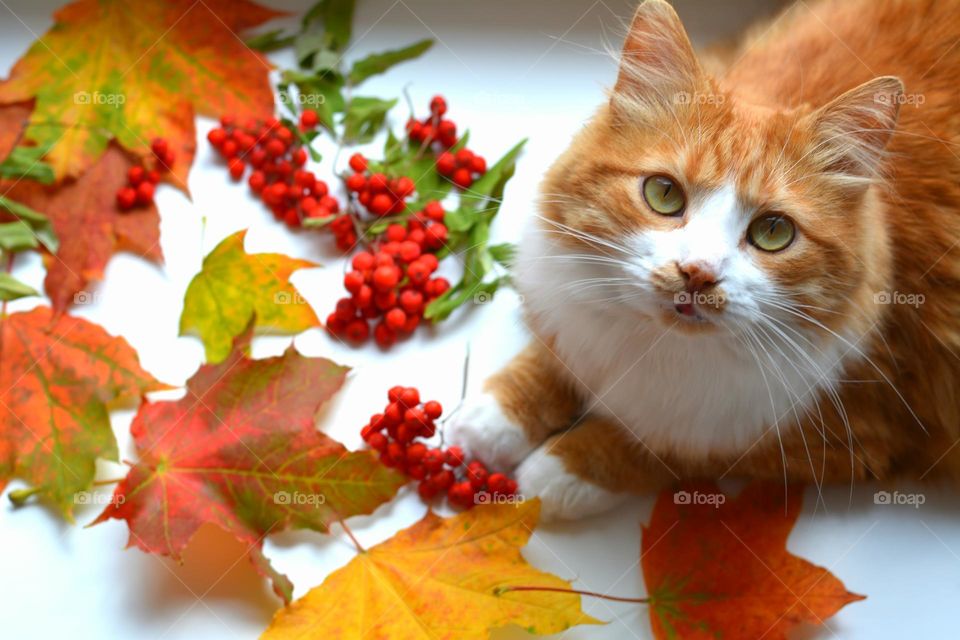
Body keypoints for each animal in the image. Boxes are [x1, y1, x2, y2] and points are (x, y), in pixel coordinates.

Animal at [448, 0, 960, 520]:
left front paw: (559, 470)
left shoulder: (847, 434)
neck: (655, 348)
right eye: (664, 193)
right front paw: (493, 420)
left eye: (773, 232)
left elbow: (664, 447)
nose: (698, 273)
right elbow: (552, 359)